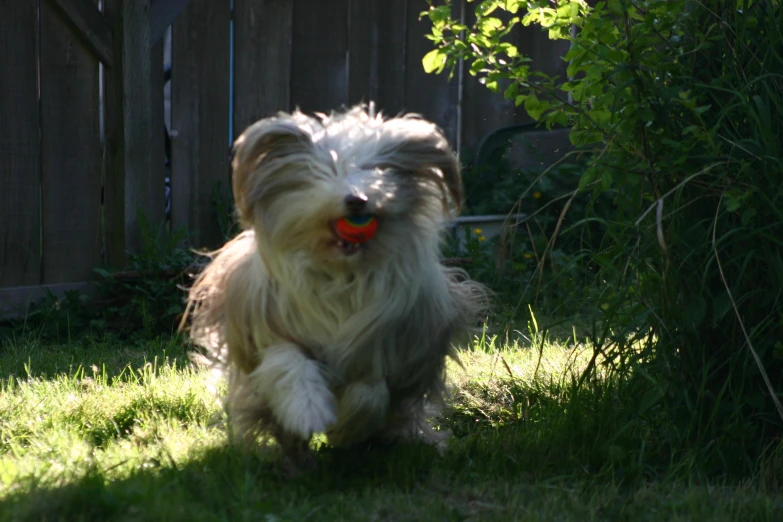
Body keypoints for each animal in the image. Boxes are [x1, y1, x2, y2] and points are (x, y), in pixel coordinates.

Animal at [186, 103, 486, 466]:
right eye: (327, 170)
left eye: (378, 170)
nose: (357, 200)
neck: (342, 273)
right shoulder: (270, 331)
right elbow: (289, 363)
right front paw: (309, 411)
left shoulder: (388, 351)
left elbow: (371, 392)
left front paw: (345, 430)